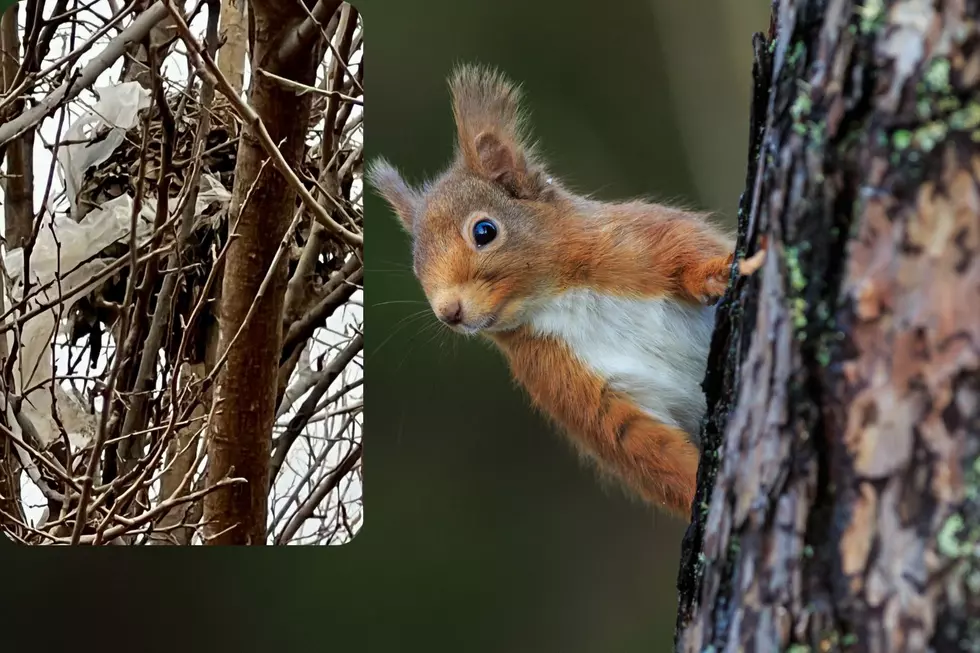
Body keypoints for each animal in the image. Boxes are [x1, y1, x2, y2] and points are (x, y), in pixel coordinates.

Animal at [368, 62, 764, 520]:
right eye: (416, 266)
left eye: (484, 231)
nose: (449, 312)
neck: (557, 299)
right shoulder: (564, 380)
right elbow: (639, 444)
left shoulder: (641, 243)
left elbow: (686, 253)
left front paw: (717, 272)